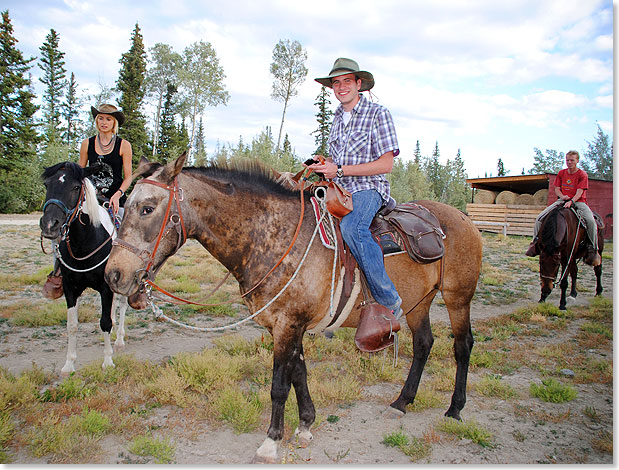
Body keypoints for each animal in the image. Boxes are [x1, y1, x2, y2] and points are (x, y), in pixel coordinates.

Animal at [39, 162, 128, 374]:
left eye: (75, 187)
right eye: (47, 185)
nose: (49, 224)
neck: (85, 242)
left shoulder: (105, 288)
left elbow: (105, 322)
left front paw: (108, 361)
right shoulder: (71, 288)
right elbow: (72, 325)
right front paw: (69, 364)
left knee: (121, 305)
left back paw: (119, 340)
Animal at [104, 154, 484, 462]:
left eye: (147, 208)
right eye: (124, 205)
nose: (113, 274)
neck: (272, 237)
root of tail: (463, 218)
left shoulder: (288, 323)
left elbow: (278, 384)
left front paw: (271, 442)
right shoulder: (288, 324)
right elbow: (299, 373)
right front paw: (304, 426)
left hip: (457, 297)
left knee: (462, 346)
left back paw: (455, 409)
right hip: (419, 302)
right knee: (423, 344)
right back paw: (402, 403)